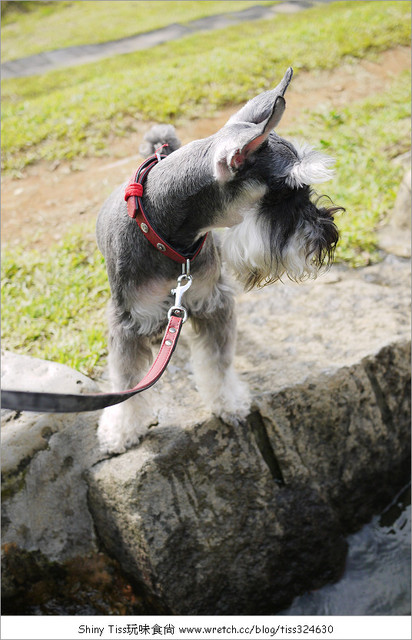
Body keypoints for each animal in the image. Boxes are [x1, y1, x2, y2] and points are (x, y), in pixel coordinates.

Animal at [96, 67, 342, 452]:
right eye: (283, 197)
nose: (329, 235)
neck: (169, 236)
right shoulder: (128, 322)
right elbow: (127, 380)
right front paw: (121, 429)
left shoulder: (212, 302)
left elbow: (218, 363)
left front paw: (228, 402)